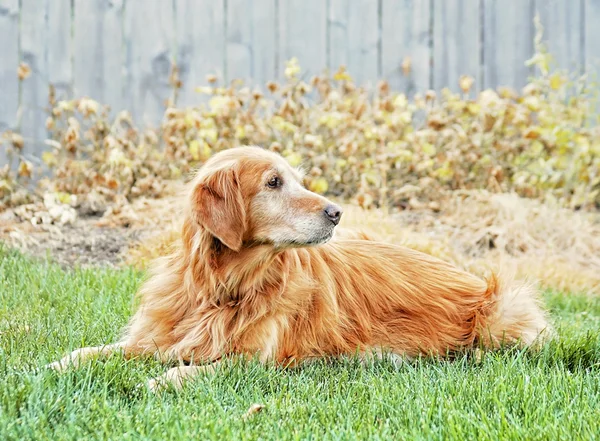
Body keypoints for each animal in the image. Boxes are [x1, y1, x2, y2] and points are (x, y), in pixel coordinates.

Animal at [49, 147, 552, 388]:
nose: (337, 212)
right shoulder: (155, 337)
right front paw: (56, 364)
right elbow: (95, 351)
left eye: (297, 179)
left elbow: (199, 369)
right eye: (274, 182)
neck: (222, 287)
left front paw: (162, 380)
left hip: (501, 313)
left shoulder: (254, 361)